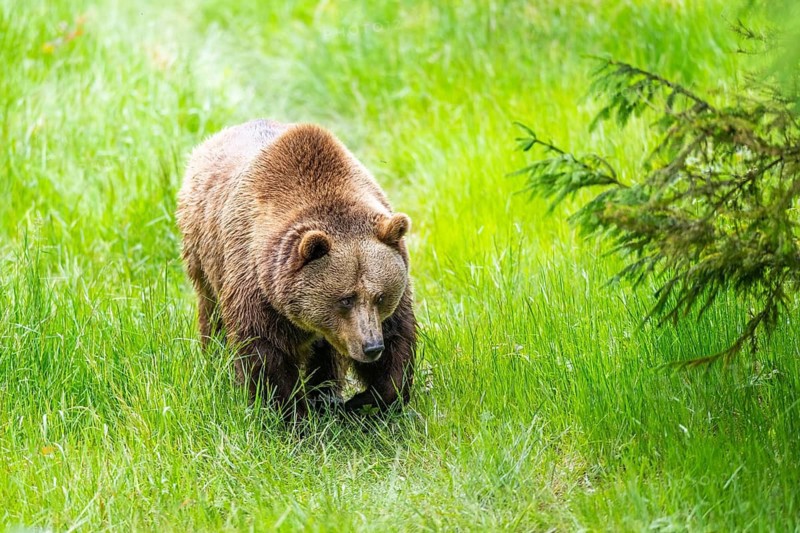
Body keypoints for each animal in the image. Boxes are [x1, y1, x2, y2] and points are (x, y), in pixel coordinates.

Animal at [176, 119, 415, 419]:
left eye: (380, 296)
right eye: (345, 299)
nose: (371, 346)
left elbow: (398, 336)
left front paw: (366, 400)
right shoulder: (256, 280)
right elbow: (264, 351)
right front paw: (288, 412)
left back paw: (325, 395)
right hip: (204, 251)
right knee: (212, 310)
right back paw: (215, 358)